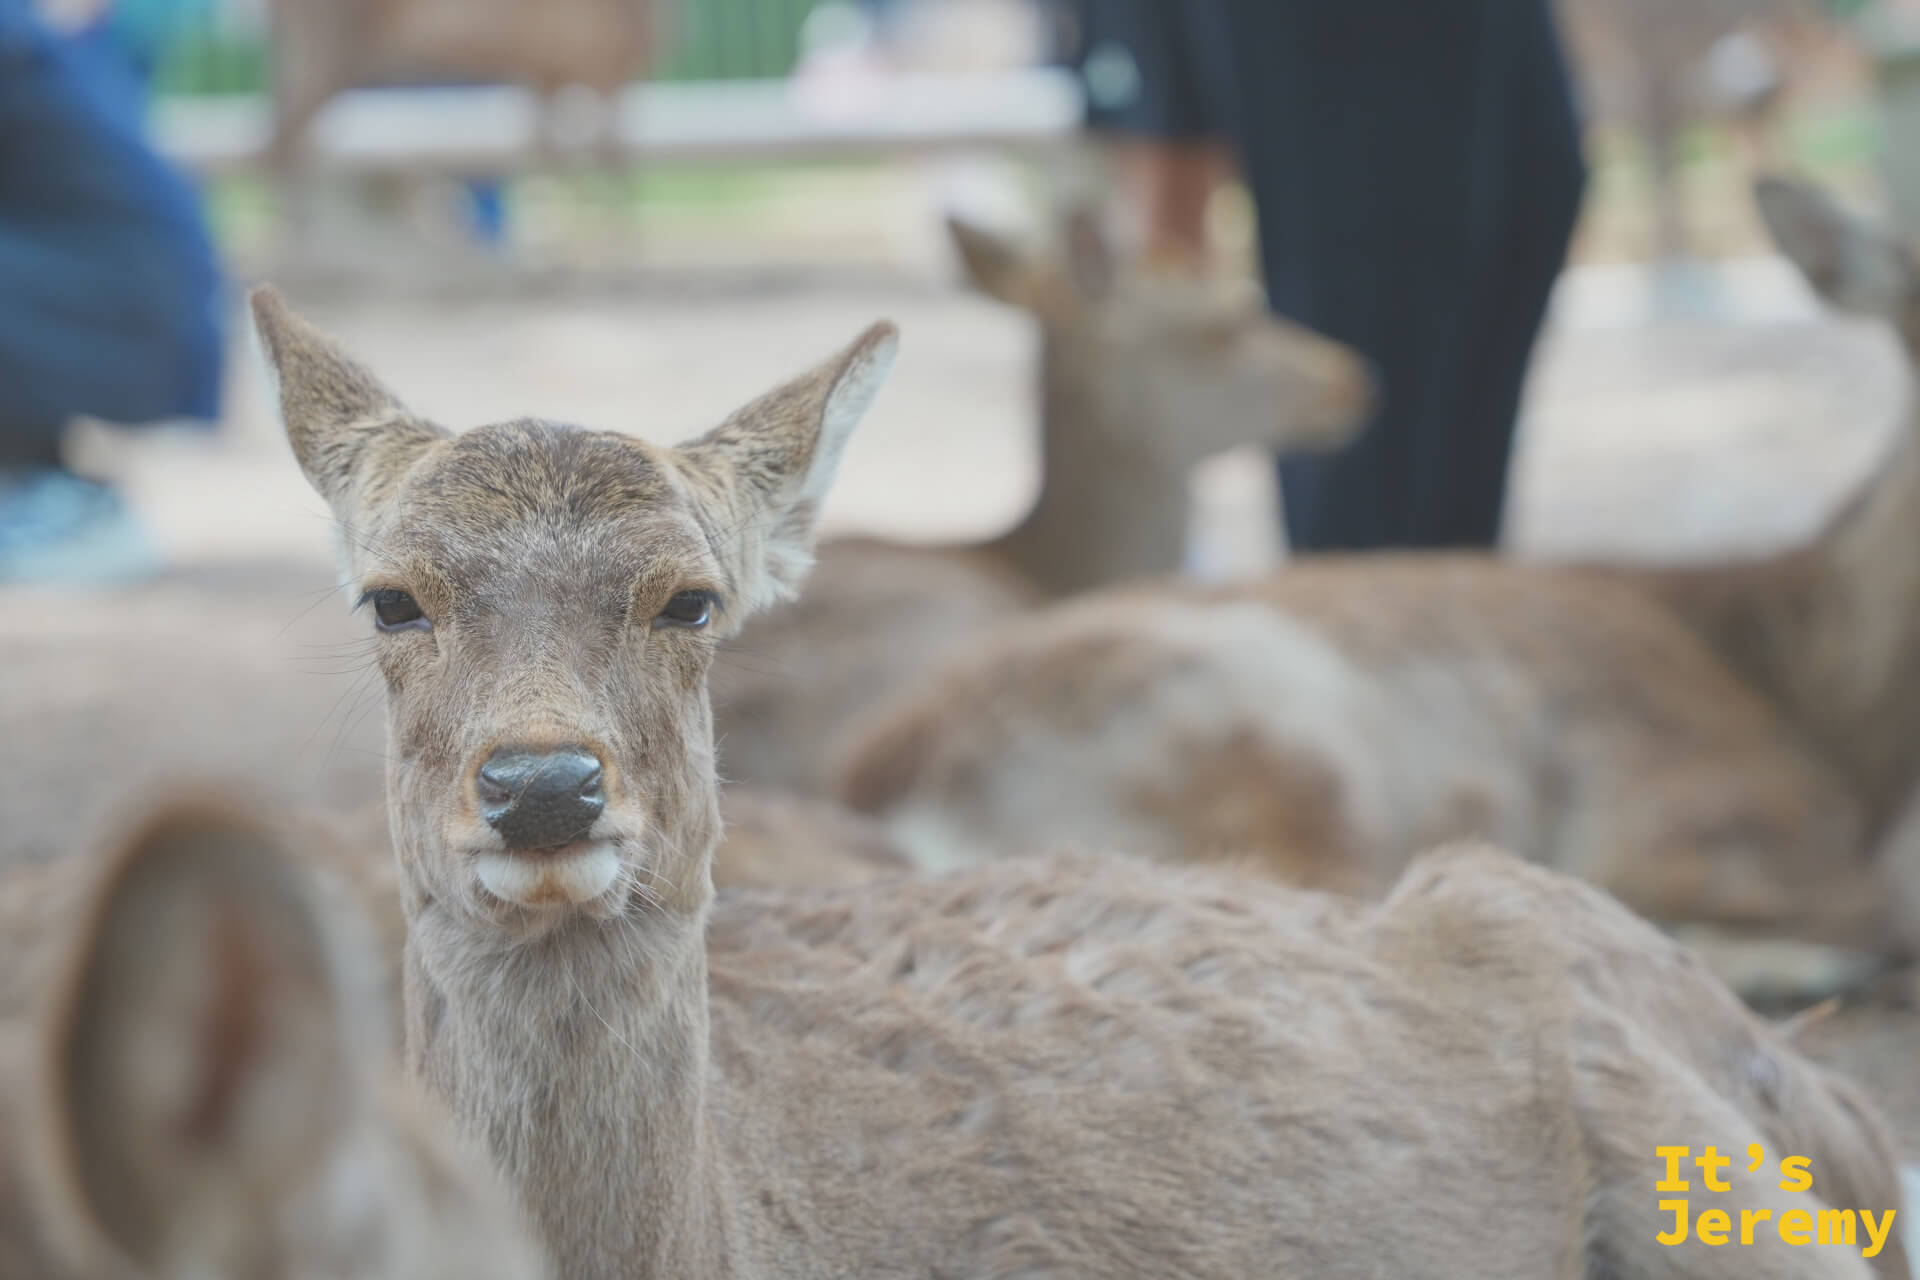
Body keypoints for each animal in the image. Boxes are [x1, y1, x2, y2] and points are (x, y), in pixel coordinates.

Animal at [252, 282, 1907, 1280]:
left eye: (692, 599)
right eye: (390, 598)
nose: (543, 786)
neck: (769, 1225)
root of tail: (1825, 1099)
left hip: (1721, 1187)